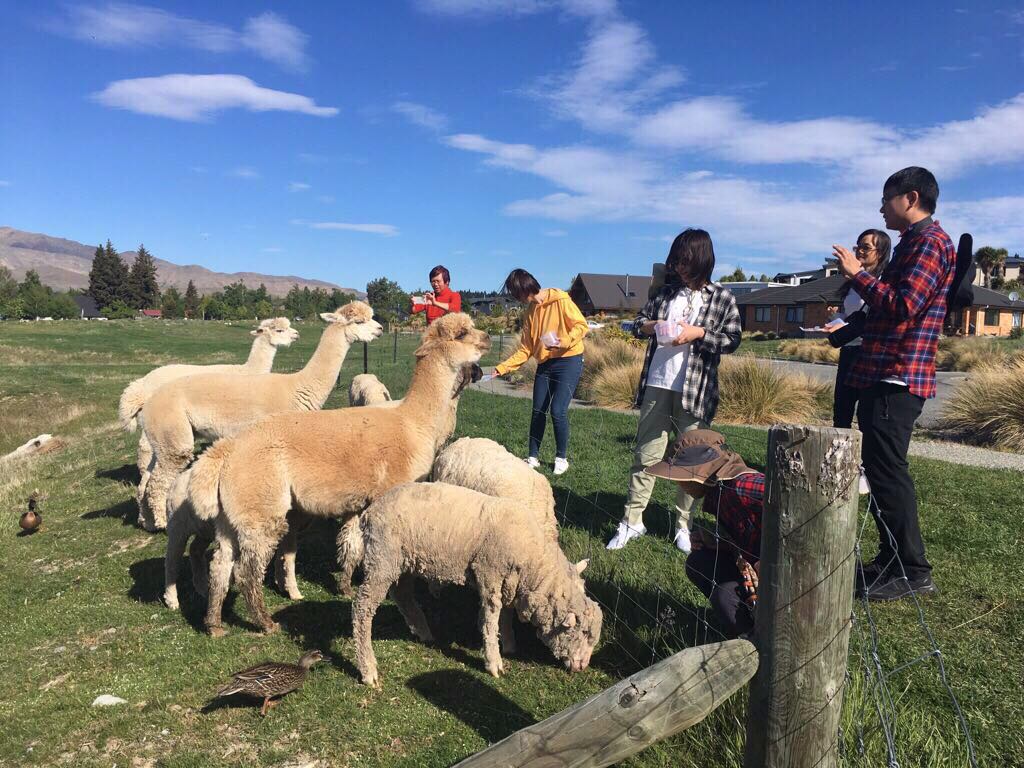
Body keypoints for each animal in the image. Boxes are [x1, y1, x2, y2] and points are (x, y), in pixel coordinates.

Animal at [138, 303, 382, 532]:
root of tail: (147, 402)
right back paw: (161, 523)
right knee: (158, 482)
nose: (380, 329)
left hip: (161, 439)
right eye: (359, 321)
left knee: (145, 479)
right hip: (174, 437)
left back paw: (146, 522)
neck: (297, 387)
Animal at [187, 313, 491, 638]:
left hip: (232, 514)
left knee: (221, 564)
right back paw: (265, 623)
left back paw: (214, 624)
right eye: (462, 333)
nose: (487, 338)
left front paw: (345, 586)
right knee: (245, 571)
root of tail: (227, 449)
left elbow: (352, 546)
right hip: (260, 506)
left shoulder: (363, 502)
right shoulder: (391, 498)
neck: (414, 422)